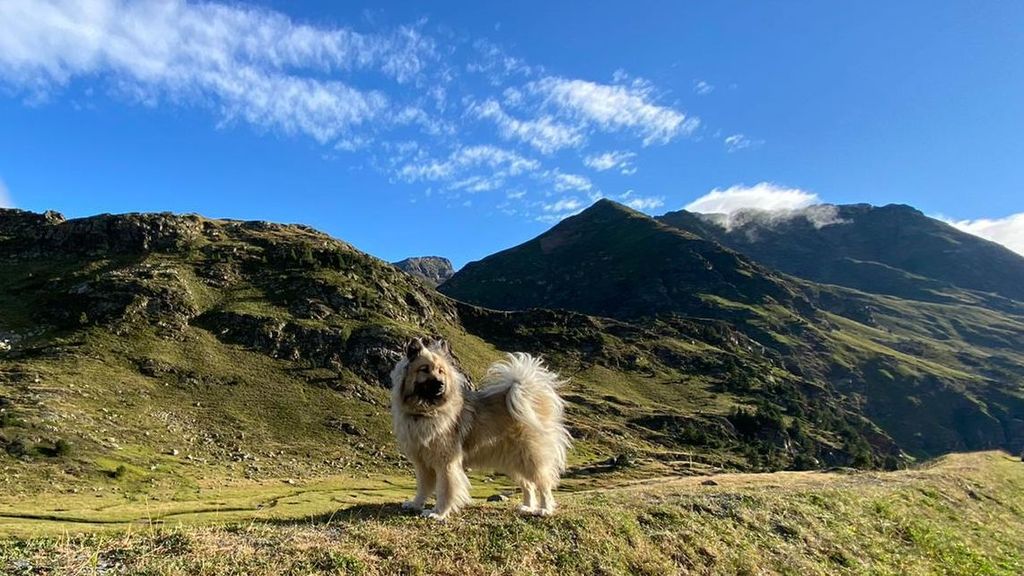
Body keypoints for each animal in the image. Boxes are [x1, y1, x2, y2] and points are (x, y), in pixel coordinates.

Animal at [389, 336, 573, 520]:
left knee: (543, 483)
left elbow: (445, 490)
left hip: (529, 458)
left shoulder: (446, 463)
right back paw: (527, 506)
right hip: (512, 461)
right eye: (424, 369)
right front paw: (415, 504)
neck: (424, 412)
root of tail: (527, 395)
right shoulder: (422, 463)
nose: (441, 385)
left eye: (441, 371)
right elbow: (422, 487)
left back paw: (544, 509)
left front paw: (439, 513)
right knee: (527, 485)